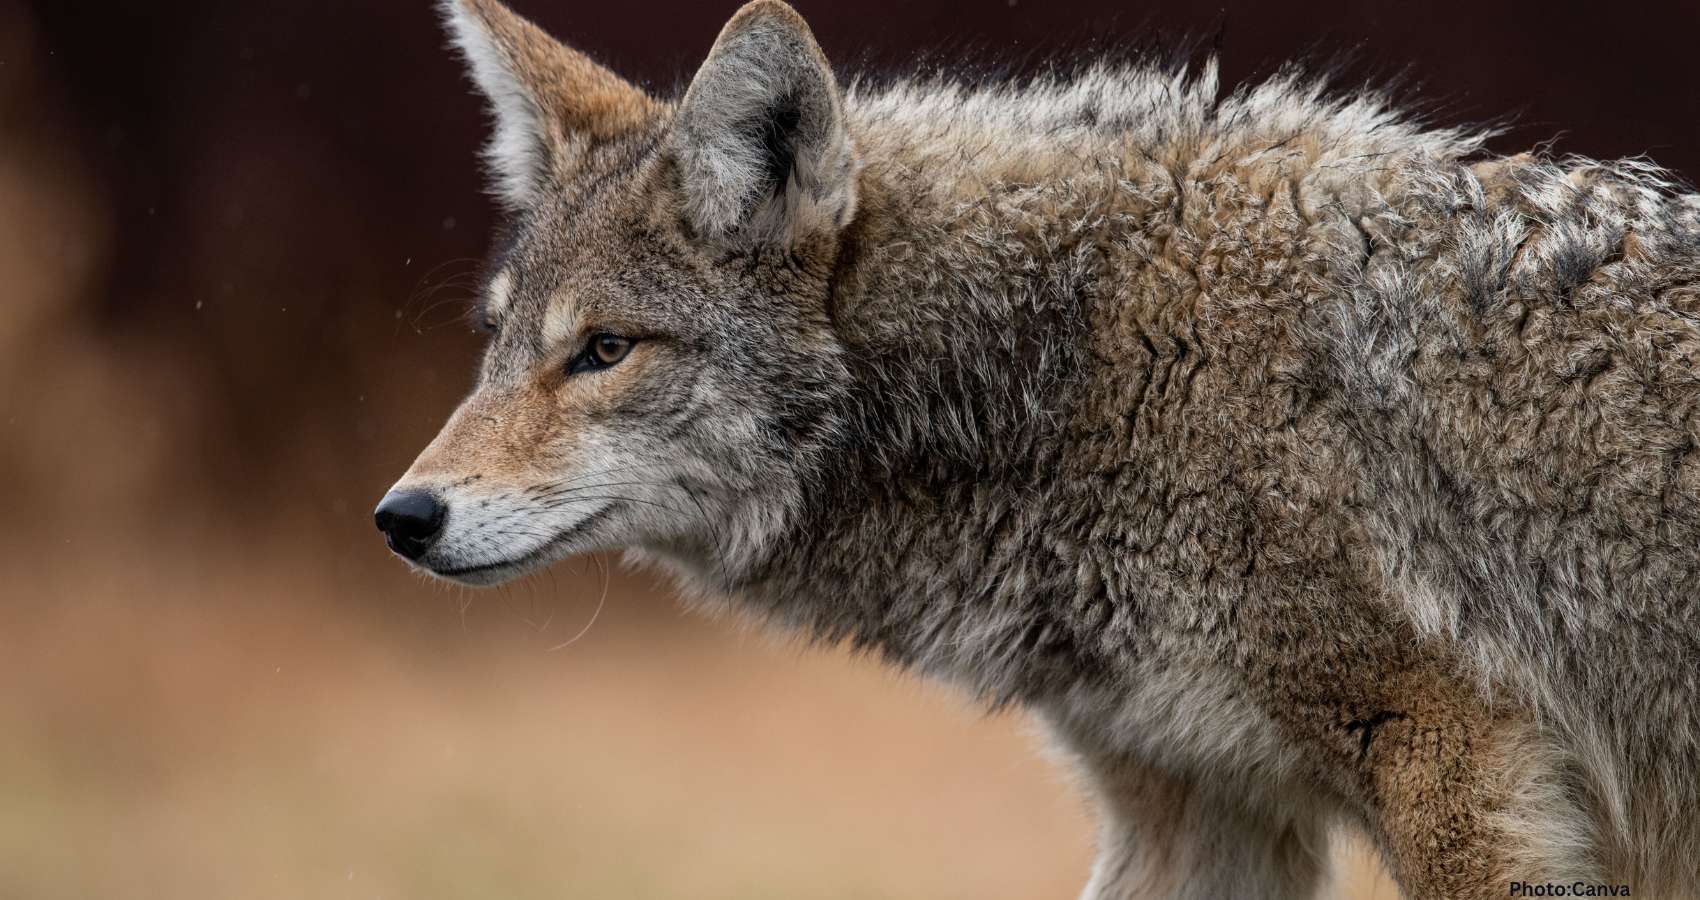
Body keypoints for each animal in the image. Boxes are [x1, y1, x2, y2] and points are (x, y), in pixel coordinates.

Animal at [375, 1, 1700, 896]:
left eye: (603, 350)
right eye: (496, 343)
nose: (402, 516)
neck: (1077, 360)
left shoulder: (1455, 764)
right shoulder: (1190, 809)